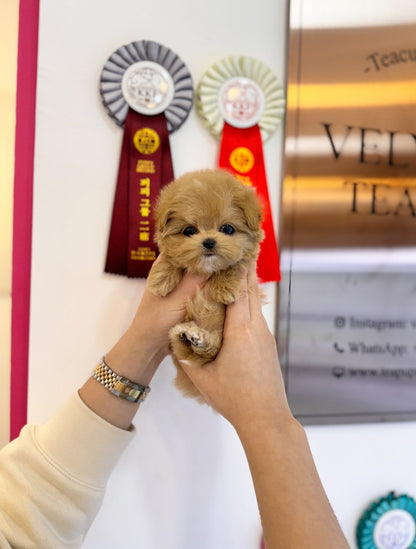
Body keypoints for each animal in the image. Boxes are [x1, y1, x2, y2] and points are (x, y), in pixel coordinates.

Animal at [147, 169, 264, 400]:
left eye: (227, 229)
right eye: (189, 231)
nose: (209, 241)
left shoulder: (246, 264)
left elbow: (234, 264)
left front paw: (223, 289)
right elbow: (170, 258)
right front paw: (161, 279)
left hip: (219, 341)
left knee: (208, 352)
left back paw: (198, 339)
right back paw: (187, 337)